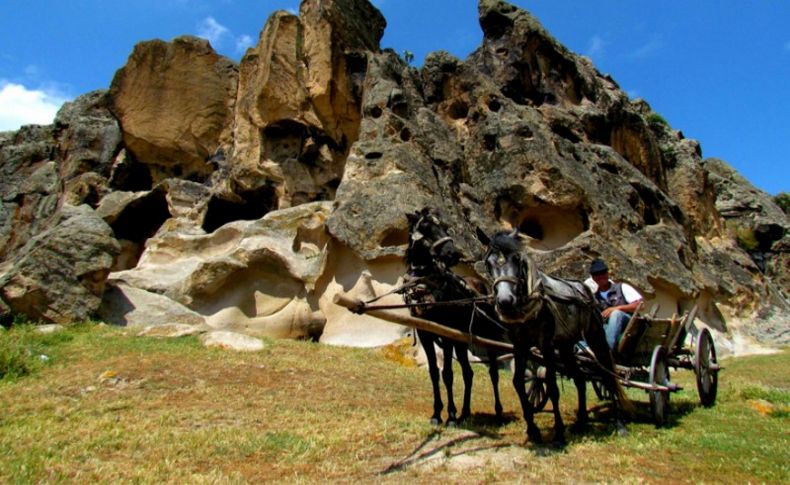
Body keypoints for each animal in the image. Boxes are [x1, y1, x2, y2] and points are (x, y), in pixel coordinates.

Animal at [406, 208, 510, 424]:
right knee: (468, 373)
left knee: (493, 372)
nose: (452, 254)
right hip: (461, 342)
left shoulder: (446, 335)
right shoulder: (426, 334)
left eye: (445, 227)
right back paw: (465, 413)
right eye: (426, 228)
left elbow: (447, 373)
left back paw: (498, 412)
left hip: (488, 336)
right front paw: (437, 414)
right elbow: (434, 373)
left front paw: (451, 416)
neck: (427, 288)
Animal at [476, 227, 632, 442]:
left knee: (607, 374)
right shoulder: (520, 344)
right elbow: (518, 382)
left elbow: (551, 384)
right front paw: (532, 429)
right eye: (488, 263)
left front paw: (558, 431)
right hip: (566, 346)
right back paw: (581, 421)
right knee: (580, 378)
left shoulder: (546, 345)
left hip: (595, 336)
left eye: (517, 260)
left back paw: (619, 423)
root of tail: (584, 289)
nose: (506, 301)